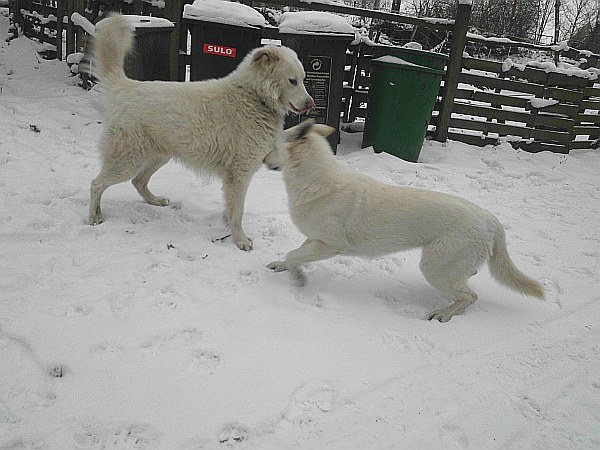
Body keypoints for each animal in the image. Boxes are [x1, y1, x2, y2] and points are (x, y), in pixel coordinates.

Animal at [90, 14, 314, 251]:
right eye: (292, 81)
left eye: (302, 79)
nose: (311, 104)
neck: (255, 97)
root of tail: (124, 86)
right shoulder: (240, 174)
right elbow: (238, 213)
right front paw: (240, 240)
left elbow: (232, 209)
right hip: (127, 161)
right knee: (97, 184)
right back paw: (94, 217)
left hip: (157, 156)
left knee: (138, 182)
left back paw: (155, 201)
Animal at [270, 121, 548, 322]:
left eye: (274, 144)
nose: (263, 159)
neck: (315, 180)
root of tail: (490, 219)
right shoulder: (315, 239)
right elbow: (294, 253)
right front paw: (284, 266)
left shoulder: (330, 245)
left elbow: (296, 255)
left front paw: (298, 278)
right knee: (468, 283)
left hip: (435, 268)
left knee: (471, 296)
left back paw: (444, 314)